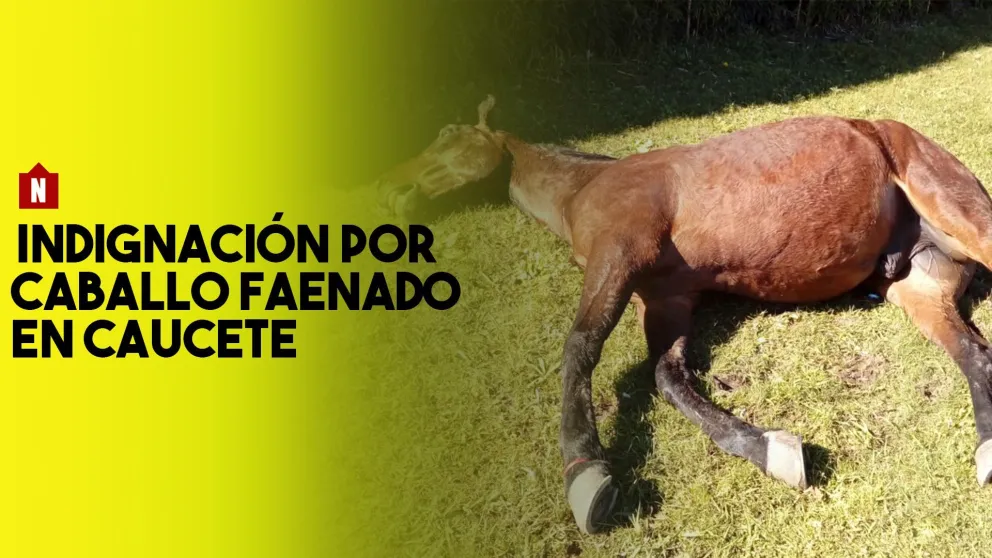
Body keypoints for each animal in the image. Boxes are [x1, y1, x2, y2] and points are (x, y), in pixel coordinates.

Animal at [375, 96, 992, 534]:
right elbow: (668, 377)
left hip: (965, 220)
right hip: (918, 288)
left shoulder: (620, 251)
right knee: (975, 356)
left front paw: (585, 472)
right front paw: (772, 451)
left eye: (448, 135)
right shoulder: (666, 299)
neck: (587, 188)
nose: (390, 184)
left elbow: (581, 346)